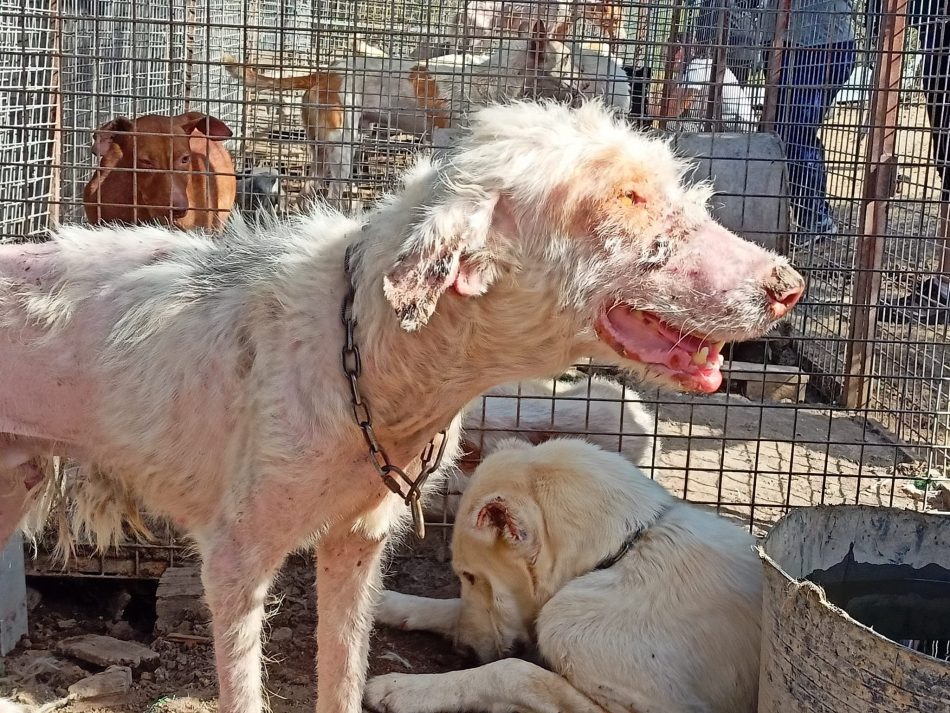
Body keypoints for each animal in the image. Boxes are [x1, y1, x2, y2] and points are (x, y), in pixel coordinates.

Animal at [368, 434, 764, 712]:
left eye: (470, 575)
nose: (461, 651)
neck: (622, 553)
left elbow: (512, 672)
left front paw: (404, 689)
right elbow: (450, 608)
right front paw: (385, 604)